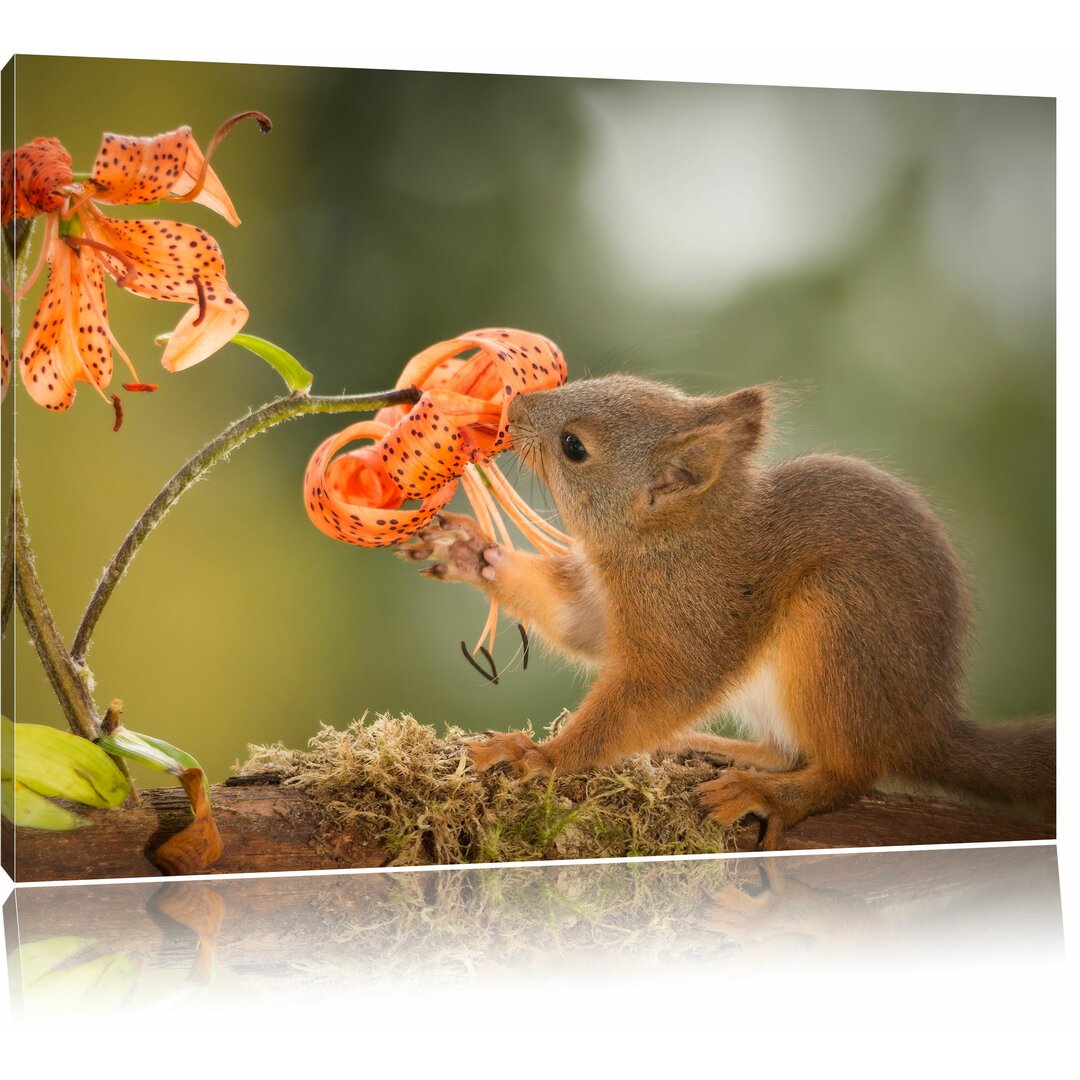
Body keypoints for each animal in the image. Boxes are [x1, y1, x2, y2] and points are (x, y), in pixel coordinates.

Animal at [403, 375, 1054, 846]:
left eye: (574, 447)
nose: (512, 406)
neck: (671, 541)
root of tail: (924, 726)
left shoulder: (695, 617)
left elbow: (655, 692)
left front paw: (540, 757)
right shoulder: (612, 608)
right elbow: (578, 625)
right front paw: (471, 552)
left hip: (838, 632)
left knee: (848, 771)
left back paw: (769, 793)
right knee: (786, 751)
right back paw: (712, 748)